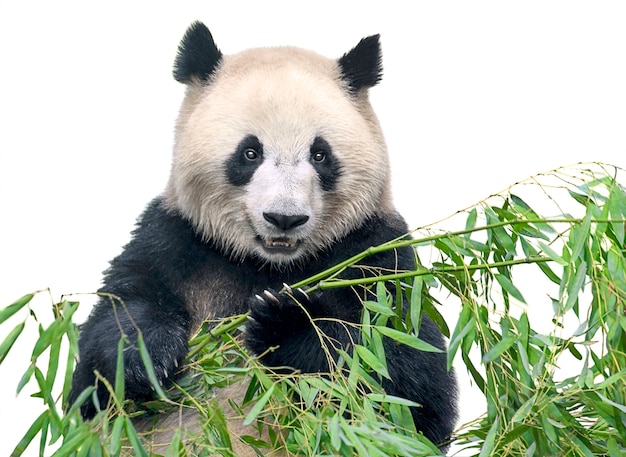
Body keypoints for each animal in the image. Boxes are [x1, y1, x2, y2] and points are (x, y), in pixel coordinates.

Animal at [69, 20, 458, 452]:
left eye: (320, 154)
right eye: (250, 153)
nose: (284, 218)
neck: (269, 265)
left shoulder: (374, 252)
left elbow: (407, 384)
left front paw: (285, 322)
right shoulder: (175, 239)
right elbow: (106, 347)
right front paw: (146, 353)